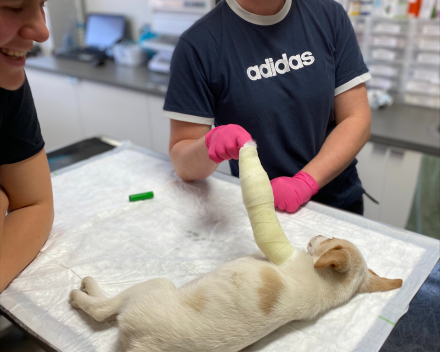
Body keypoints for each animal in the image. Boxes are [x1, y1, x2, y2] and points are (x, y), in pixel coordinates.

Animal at [69, 234, 402, 352]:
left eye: (330, 239)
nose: (316, 235)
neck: (330, 287)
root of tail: (142, 344)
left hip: (152, 286)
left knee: (102, 309)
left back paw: (84, 290)